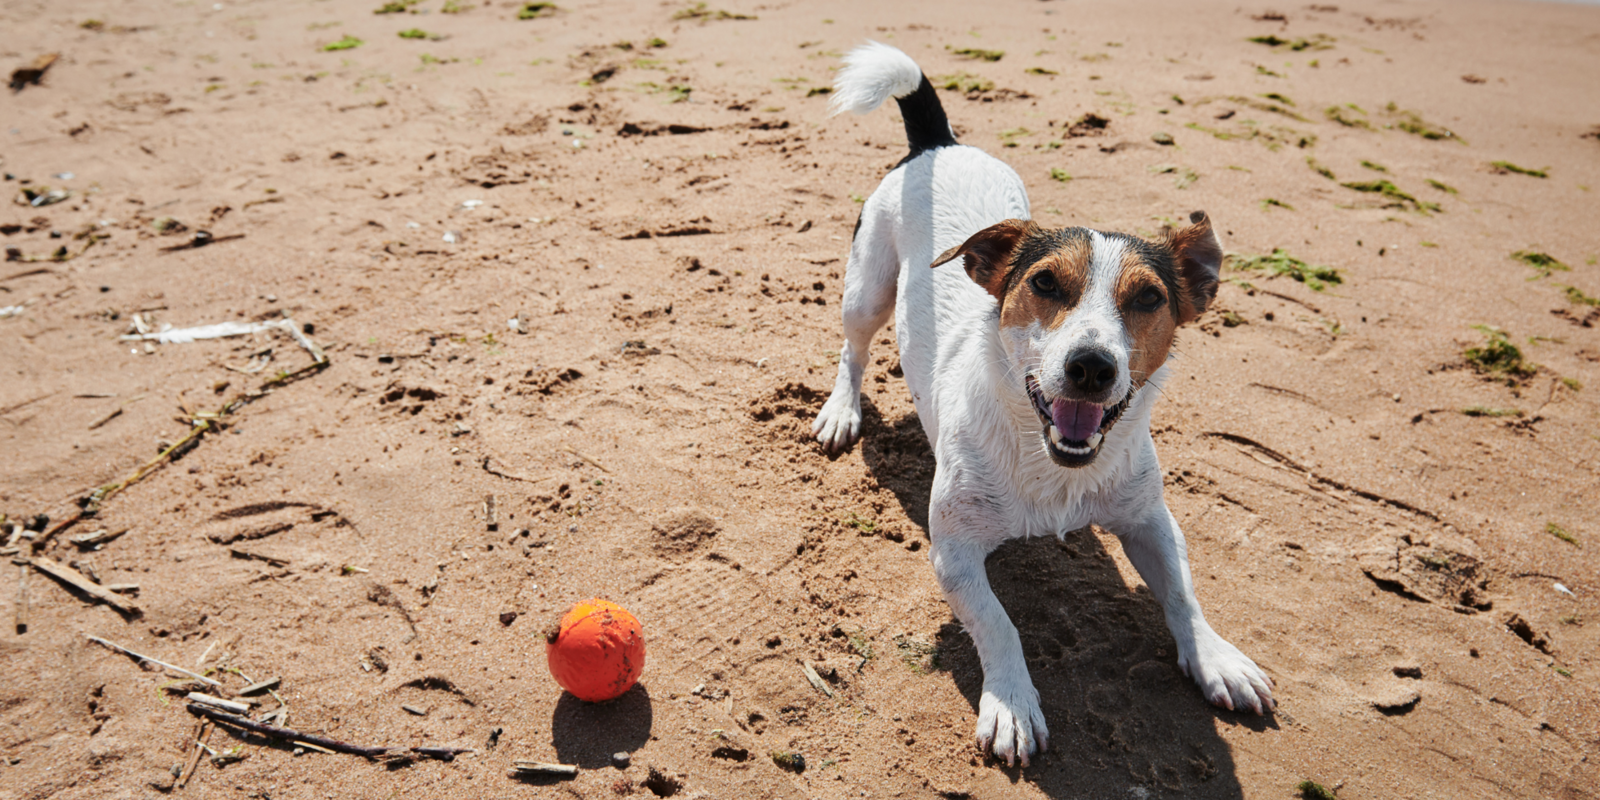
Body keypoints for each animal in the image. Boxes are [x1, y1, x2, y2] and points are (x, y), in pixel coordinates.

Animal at [812, 40, 1273, 764]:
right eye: (1046, 283)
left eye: (1150, 298)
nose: (1091, 366)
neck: (1052, 463)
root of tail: (938, 145)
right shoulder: (953, 552)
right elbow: (999, 625)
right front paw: (1011, 703)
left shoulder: (1150, 520)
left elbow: (1182, 592)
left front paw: (1215, 658)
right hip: (866, 288)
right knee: (852, 351)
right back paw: (842, 410)